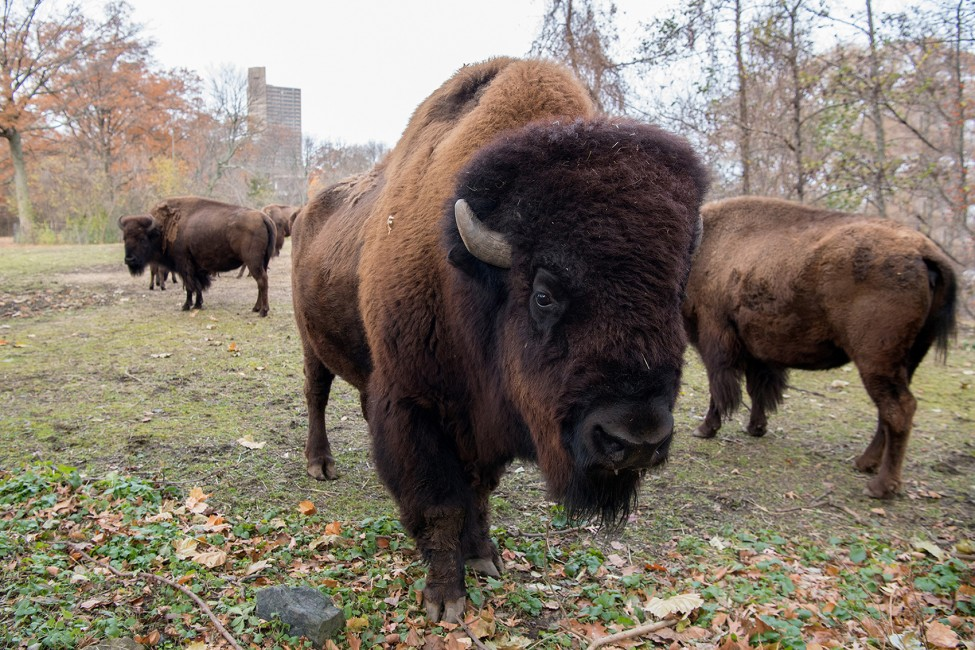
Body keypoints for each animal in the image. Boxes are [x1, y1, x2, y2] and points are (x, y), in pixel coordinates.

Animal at [121, 196, 276, 316]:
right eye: (124, 238)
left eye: (142, 238)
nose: (129, 259)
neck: (162, 228)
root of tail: (263, 217)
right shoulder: (196, 267)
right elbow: (198, 286)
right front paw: (197, 305)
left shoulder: (184, 264)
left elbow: (190, 286)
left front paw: (186, 306)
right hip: (263, 262)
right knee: (260, 282)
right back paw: (256, 308)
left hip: (253, 262)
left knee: (262, 281)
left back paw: (263, 311)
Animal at [290, 58, 708, 620]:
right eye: (544, 294)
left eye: (677, 291)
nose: (635, 440)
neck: (469, 282)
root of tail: (305, 211)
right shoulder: (415, 406)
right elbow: (442, 503)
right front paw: (446, 598)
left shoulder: (483, 423)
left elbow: (479, 493)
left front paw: (483, 556)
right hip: (311, 343)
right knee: (316, 395)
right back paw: (321, 464)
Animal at [684, 196, 956, 496]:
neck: (702, 245)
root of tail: (925, 253)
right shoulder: (757, 351)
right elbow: (759, 389)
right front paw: (755, 428)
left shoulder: (716, 340)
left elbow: (719, 388)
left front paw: (705, 429)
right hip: (906, 362)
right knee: (886, 413)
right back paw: (864, 463)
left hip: (876, 362)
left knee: (898, 410)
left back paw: (880, 486)